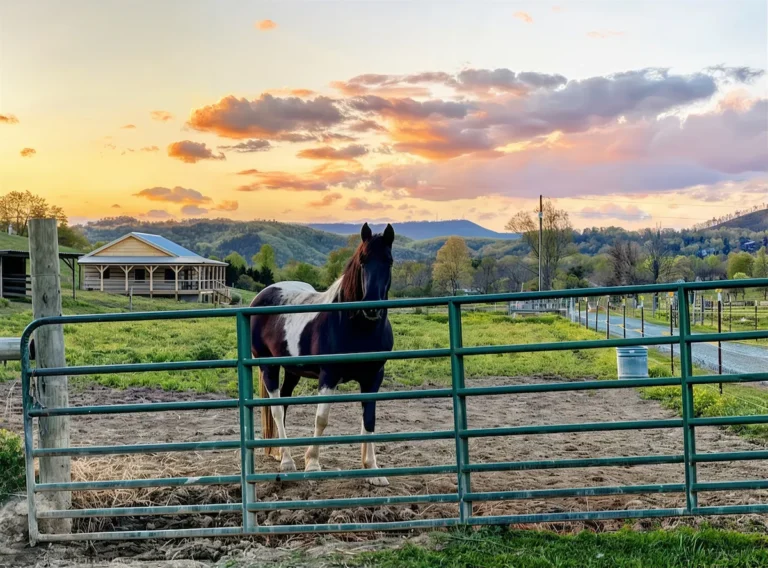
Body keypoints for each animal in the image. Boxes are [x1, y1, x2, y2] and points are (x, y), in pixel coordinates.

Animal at [249, 222, 395, 486]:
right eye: (362, 261)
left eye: (389, 261)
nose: (371, 307)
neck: (354, 327)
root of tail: (262, 296)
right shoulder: (329, 375)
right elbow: (321, 419)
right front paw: (313, 464)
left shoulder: (373, 377)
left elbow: (369, 419)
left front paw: (373, 469)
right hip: (269, 368)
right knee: (276, 410)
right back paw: (287, 462)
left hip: (292, 371)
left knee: (284, 404)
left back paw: (280, 454)